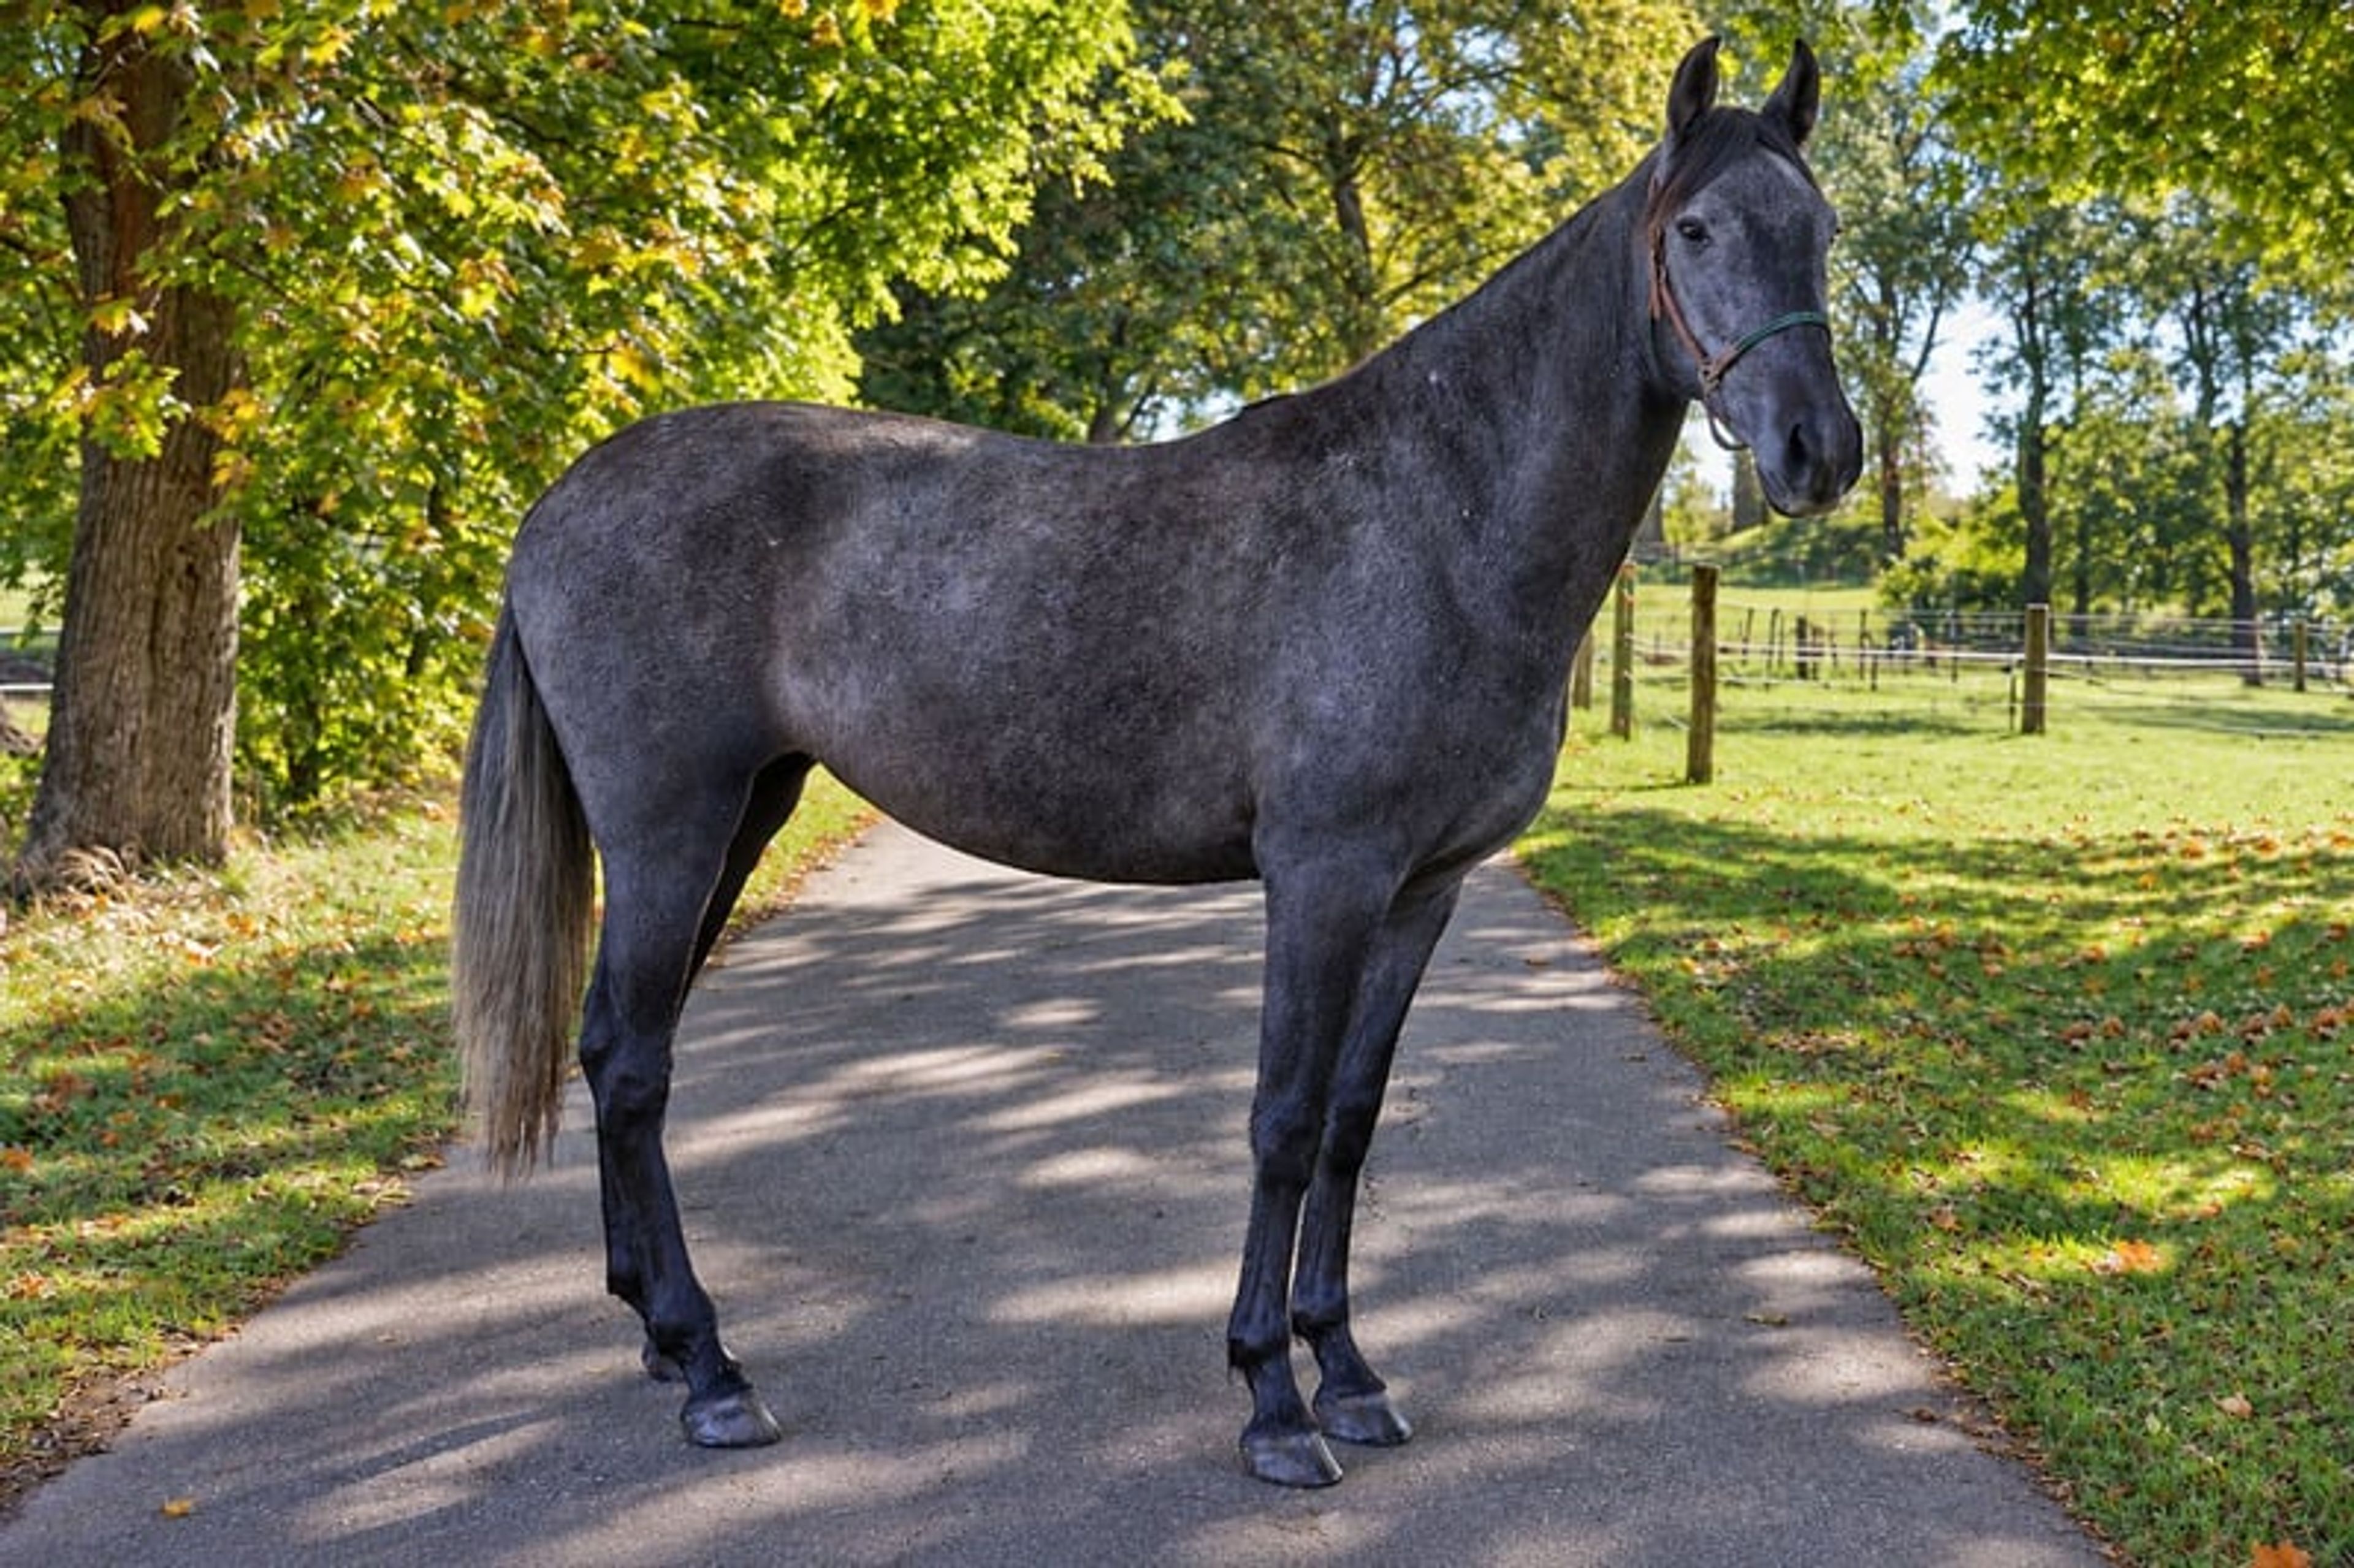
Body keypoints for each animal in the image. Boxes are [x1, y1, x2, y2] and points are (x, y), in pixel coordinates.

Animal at [452, 35, 1861, 1489]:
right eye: (1695, 230)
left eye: (1820, 229)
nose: (1820, 451)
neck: (1436, 519)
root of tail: (555, 504)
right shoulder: (1324, 877)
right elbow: (1284, 1120)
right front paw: (1274, 1398)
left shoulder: (1424, 890)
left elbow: (1353, 1120)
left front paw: (1349, 1371)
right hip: (670, 830)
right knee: (633, 1062)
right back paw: (712, 1368)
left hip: (742, 814)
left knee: (617, 1046)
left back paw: (661, 1335)